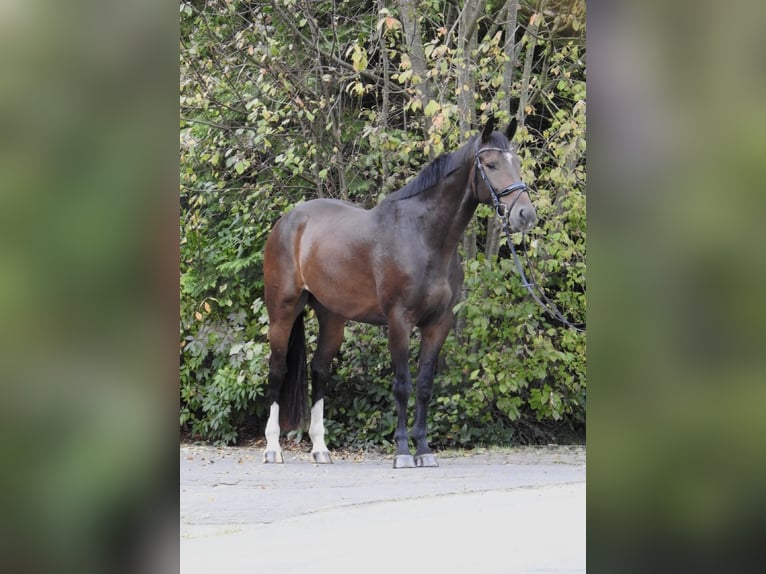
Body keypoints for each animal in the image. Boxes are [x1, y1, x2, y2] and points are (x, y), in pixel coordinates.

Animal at [260, 116, 536, 468]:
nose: (525, 215)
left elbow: (424, 386)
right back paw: (273, 448)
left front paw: (424, 450)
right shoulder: (399, 321)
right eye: (490, 164)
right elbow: (403, 385)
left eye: (517, 163)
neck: (423, 237)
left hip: (332, 317)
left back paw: (321, 449)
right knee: (277, 371)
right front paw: (403, 451)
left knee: (319, 370)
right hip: (282, 310)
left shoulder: (438, 324)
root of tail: (287, 221)